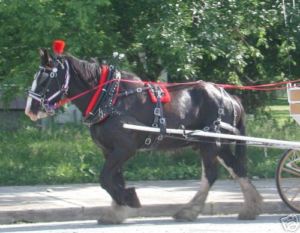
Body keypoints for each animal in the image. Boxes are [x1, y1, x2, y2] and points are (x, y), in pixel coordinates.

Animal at [24, 49, 262, 224]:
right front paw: (117, 210)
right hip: (217, 145)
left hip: (210, 143)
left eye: (44, 80)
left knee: (211, 174)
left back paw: (190, 211)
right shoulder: (110, 150)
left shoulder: (125, 148)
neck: (110, 98)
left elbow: (105, 179)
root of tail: (229, 96)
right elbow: (114, 179)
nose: (30, 109)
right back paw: (251, 207)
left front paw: (128, 200)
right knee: (237, 169)